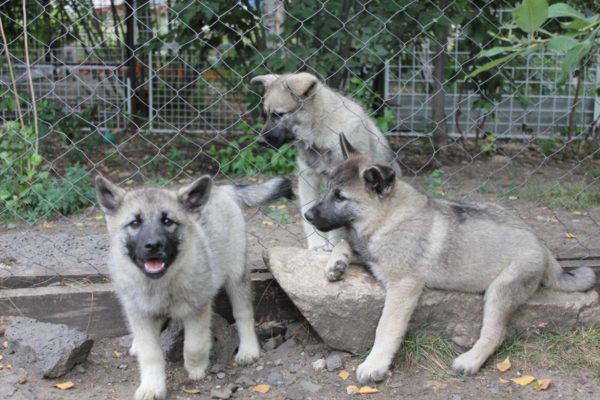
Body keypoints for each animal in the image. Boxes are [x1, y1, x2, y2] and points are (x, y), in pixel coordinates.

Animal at [95, 176, 294, 400]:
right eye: (135, 223)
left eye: (167, 221)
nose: (153, 245)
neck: (160, 282)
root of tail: (220, 189)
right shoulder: (139, 313)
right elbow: (150, 353)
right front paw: (152, 386)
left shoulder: (197, 309)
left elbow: (194, 345)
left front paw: (196, 368)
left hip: (236, 275)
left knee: (243, 314)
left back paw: (248, 349)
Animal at [251, 72, 400, 250]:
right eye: (267, 114)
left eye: (279, 114)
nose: (260, 141)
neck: (319, 129)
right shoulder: (308, 178)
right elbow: (309, 214)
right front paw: (317, 245)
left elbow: (335, 221)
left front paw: (334, 245)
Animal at [304, 134, 596, 384]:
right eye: (328, 190)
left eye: (340, 197)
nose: (307, 215)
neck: (386, 218)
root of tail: (544, 248)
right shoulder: (369, 253)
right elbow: (344, 242)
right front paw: (336, 264)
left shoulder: (404, 287)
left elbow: (386, 326)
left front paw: (374, 365)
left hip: (501, 290)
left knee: (495, 334)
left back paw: (469, 361)